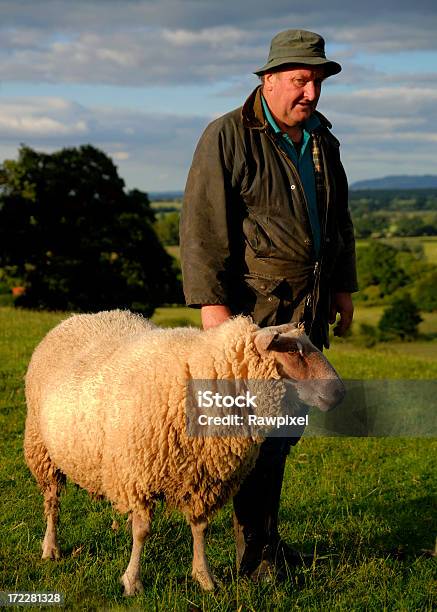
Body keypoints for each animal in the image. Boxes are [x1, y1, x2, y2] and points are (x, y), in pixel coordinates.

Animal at [23, 310, 344, 592]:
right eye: (294, 353)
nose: (339, 393)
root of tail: (77, 318)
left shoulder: (204, 478)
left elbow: (200, 528)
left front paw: (204, 577)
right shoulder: (139, 476)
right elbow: (142, 531)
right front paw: (132, 580)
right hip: (42, 448)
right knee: (52, 502)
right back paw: (50, 547)